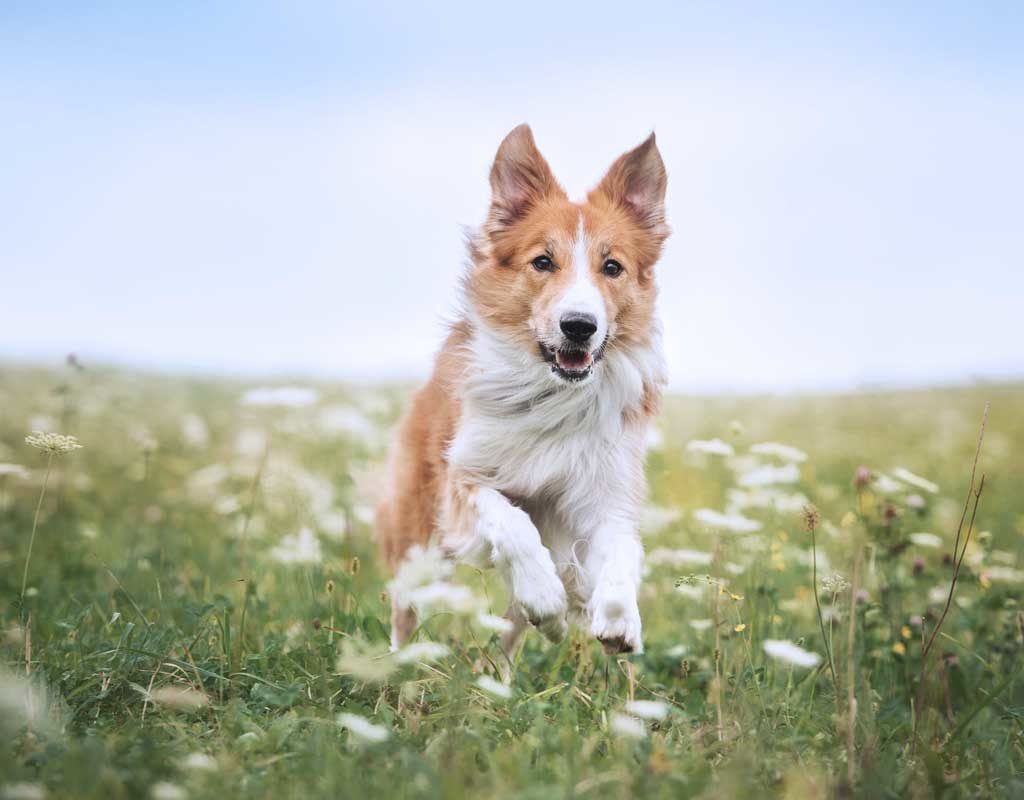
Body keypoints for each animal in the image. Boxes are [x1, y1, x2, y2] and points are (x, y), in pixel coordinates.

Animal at [378, 124, 671, 659]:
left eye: (612, 267)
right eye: (543, 261)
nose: (579, 326)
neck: (553, 394)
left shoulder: (603, 492)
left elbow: (622, 547)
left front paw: (620, 618)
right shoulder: (464, 478)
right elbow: (513, 523)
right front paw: (545, 593)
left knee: (508, 642)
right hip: (418, 536)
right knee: (406, 611)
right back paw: (401, 664)